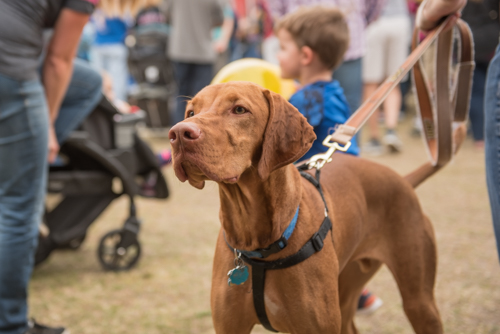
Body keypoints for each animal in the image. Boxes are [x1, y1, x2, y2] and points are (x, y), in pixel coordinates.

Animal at [170, 81, 444, 334]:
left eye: (239, 109)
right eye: (191, 112)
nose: (179, 133)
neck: (258, 241)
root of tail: (403, 180)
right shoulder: (229, 327)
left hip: (419, 302)